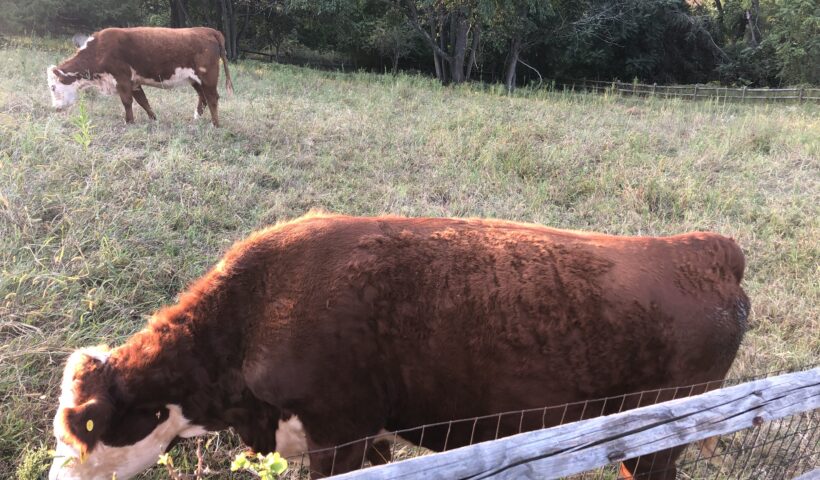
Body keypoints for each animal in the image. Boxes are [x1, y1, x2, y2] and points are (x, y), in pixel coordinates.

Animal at [46, 27, 232, 126]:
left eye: (53, 87)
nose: (56, 108)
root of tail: (208, 30)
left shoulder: (121, 78)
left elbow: (127, 102)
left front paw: (129, 122)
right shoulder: (134, 82)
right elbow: (143, 101)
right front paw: (153, 119)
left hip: (207, 76)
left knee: (212, 98)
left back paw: (215, 124)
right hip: (195, 79)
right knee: (203, 97)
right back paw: (196, 118)